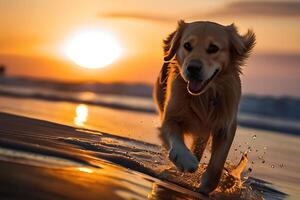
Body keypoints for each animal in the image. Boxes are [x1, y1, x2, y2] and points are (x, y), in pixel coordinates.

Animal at [155, 20, 255, 194]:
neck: (204, 96)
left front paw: (209, 185)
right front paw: (186, 160)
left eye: (213, 48)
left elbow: (216, 166)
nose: (193, 68)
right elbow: (175, 138)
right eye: (187, 45)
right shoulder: (170, 117)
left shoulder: (225, 125)